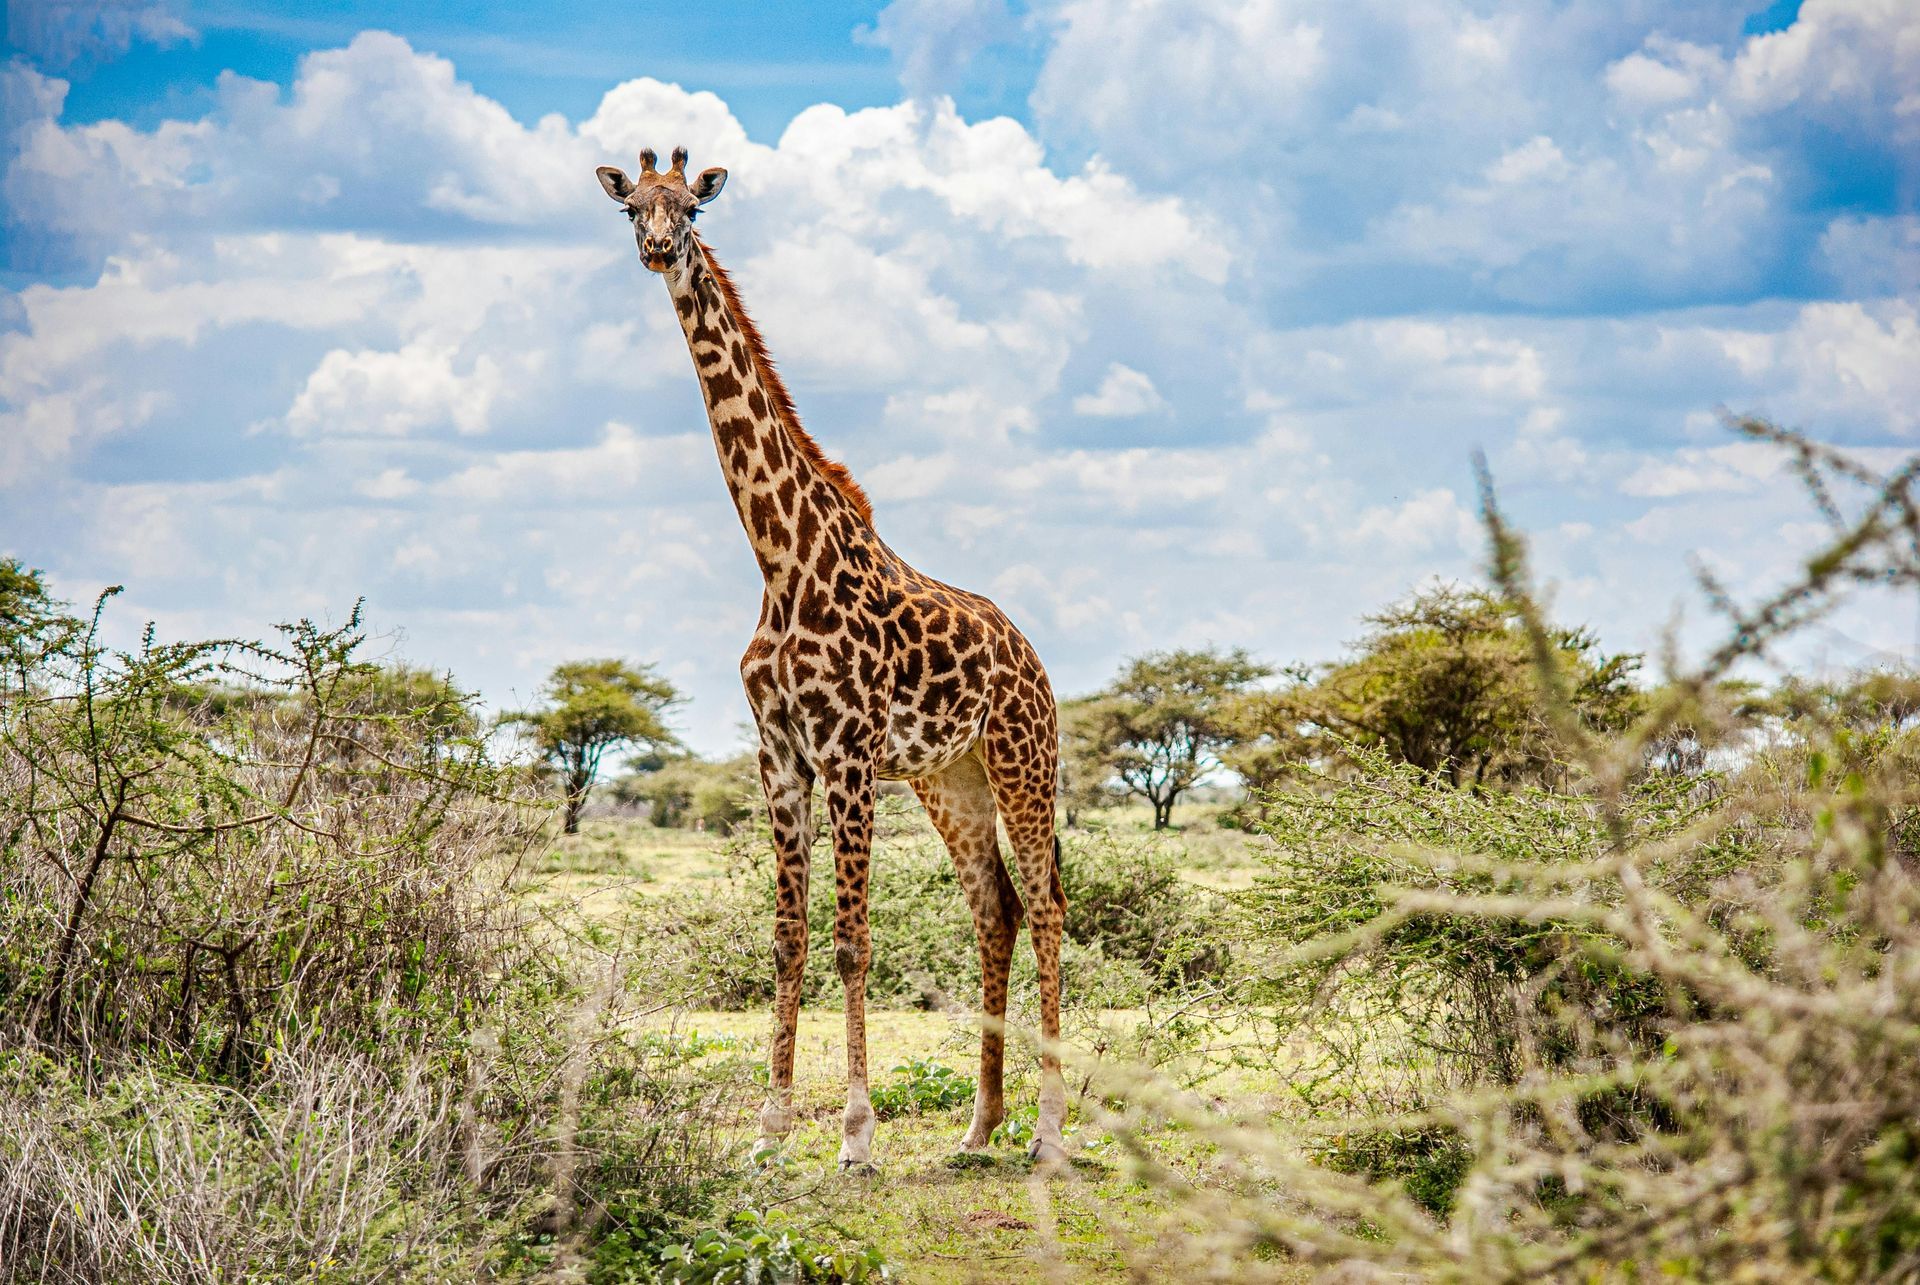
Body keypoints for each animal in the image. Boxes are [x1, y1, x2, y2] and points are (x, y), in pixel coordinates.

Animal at [595, 145, 1075, 1167]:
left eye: (691, 208)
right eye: (631, 209)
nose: (658, 250)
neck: (780, 556)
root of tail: (1033, 658)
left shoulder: (848, 751)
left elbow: (854, 939)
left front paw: (856, 1135)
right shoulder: (780, 753)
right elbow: (789, 937)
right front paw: (771, 1128)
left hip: (1023, 758)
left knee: (1047, 904)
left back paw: (1051, 1131)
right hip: (951, 778)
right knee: (998, 908)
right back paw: (980, 1124)